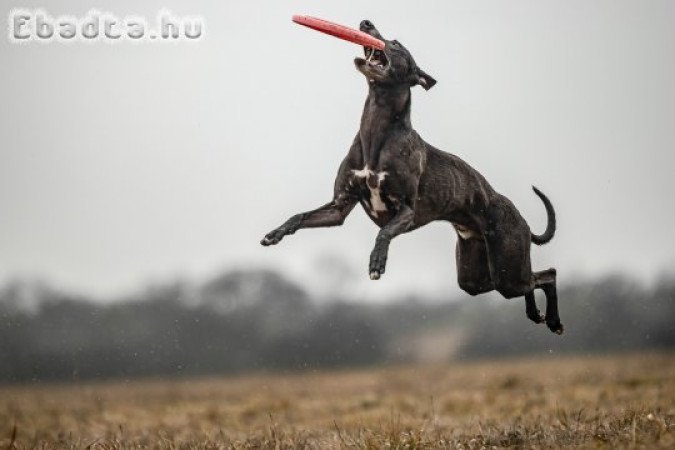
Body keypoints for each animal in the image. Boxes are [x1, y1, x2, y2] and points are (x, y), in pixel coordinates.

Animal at [262, 19, 564, 334]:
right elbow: (299, 217)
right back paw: (536, 313)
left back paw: (553, 320)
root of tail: (522, 220)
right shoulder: (339, 207)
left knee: (547, 274)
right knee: (530, 279)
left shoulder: (406, 210)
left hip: (507, 266)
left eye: (395, 44)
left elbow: (383, 232)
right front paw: (275, 233)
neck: (377, 133)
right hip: (477, 276)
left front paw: (376, 263)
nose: (365, 22)